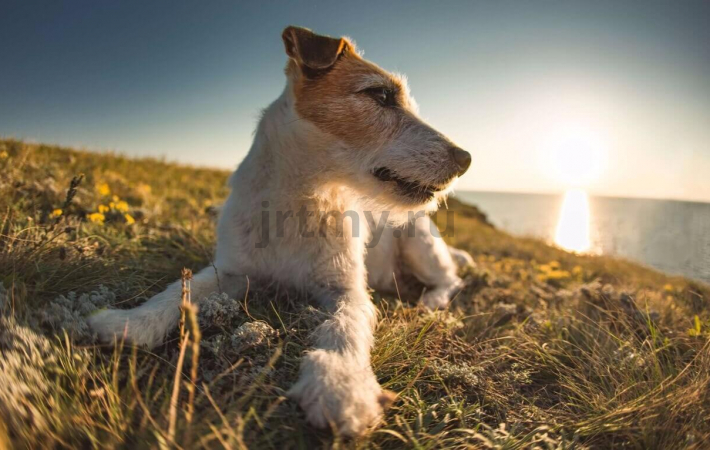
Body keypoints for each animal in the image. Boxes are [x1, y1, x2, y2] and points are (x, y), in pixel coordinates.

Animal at [90, 27, 478, 436]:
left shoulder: (347, 290)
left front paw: (340, 384)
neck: (300, 199)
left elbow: (344, 329)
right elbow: (180, 291)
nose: (466, 159)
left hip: (419, 241)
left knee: (452, 279)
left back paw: (431, 302)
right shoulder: (231, 271)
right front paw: (130, 322)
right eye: (380, 95)